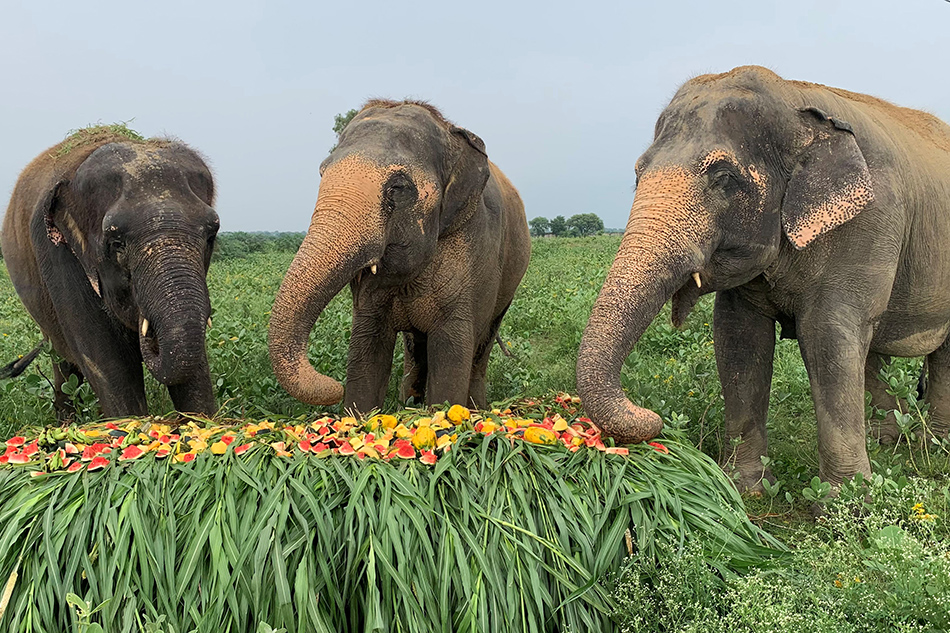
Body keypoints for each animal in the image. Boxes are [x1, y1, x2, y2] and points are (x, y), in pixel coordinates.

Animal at [268, 99, 532, 412]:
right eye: (321, 174)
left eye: (398, 187)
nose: (333, 387)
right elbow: (367, 345)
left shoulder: (475, 246)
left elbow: (451, 349)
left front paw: (447, 415)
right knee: (415, 347)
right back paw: (410, 403)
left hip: (508, 286)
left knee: (482, 344)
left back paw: (476, 409)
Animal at [576, 65, 950, 488]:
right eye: (638, 174)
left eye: (723, 177)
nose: (653, 419)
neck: (793, 99)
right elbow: (738, 338)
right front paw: (745, 487)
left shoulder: (869, 223)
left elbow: (829, 336)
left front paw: (846, 498)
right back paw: (889, 441)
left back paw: (934, 445)